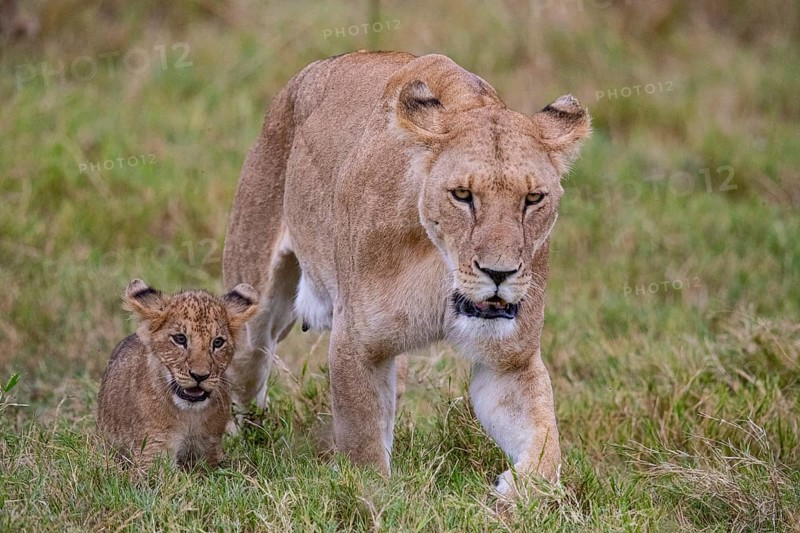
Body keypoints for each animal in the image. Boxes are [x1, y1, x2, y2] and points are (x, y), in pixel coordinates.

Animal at [97, 279, 259, 467]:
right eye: (180, 339)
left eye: (218, 342)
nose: (200, 376)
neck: (189, 415)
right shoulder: (152, 449)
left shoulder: (209, 446)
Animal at [223, 51, 590, 495]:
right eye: (462, 195)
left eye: (533, 198)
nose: (498, 273)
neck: (441, 267)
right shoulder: (356, 343)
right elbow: (364, 449)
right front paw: (378, 496)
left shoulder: (509, 363)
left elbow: (546, 445)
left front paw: (516, 496)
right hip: (251, 317)